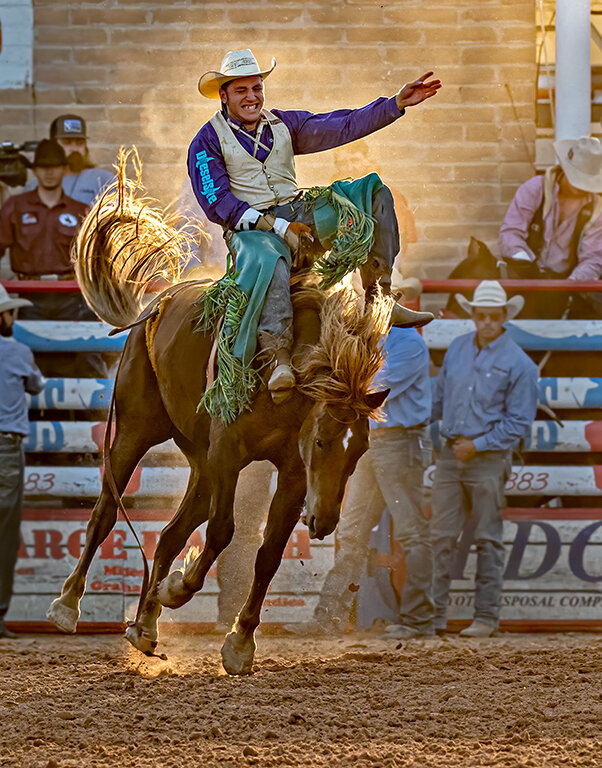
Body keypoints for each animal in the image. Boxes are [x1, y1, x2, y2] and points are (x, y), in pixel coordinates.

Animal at [44, 148, 390, 672]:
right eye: (324, 440)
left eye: (361, 451)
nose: (325, 522)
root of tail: (156, 304)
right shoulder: (229, 453)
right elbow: (224, 532)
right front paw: (179, 590)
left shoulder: (290, 473)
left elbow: (268, 553)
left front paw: (240, 642)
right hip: (136, 430)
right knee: (105, 511)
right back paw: (68, 605)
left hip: (199, 461)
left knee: (169, 534)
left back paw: (144, 627)